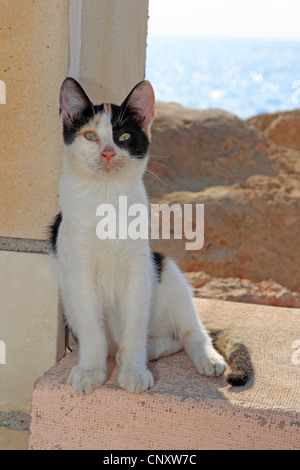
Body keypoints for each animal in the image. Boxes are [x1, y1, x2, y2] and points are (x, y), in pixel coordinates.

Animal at [49, 78, 253, 396]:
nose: (108, 152)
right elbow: (92, 329)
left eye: (123, 136)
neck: (107, 198)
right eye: (90, 136)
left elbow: (135, 322)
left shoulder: (139, 268)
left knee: (192, 332)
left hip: (165, 269)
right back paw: (144, 350)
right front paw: (91, 370)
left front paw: (133, 370)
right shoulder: (78, 272)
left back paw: (203, 357)